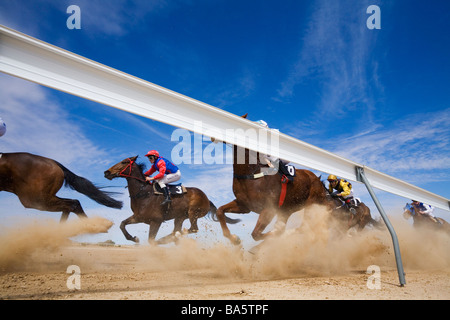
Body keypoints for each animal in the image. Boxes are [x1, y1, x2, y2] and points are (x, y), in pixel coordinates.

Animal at [102, 156, 236, 244]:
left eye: (124, 162)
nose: (106, 172)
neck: (143, 194)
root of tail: (207, 199)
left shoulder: (156, 221)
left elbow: (151, 240)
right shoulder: (138, 217)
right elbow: (122, 224)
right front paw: (133, 238)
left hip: (193, 213)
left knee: (192, 229)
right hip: (180, 217)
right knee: (177, 230)